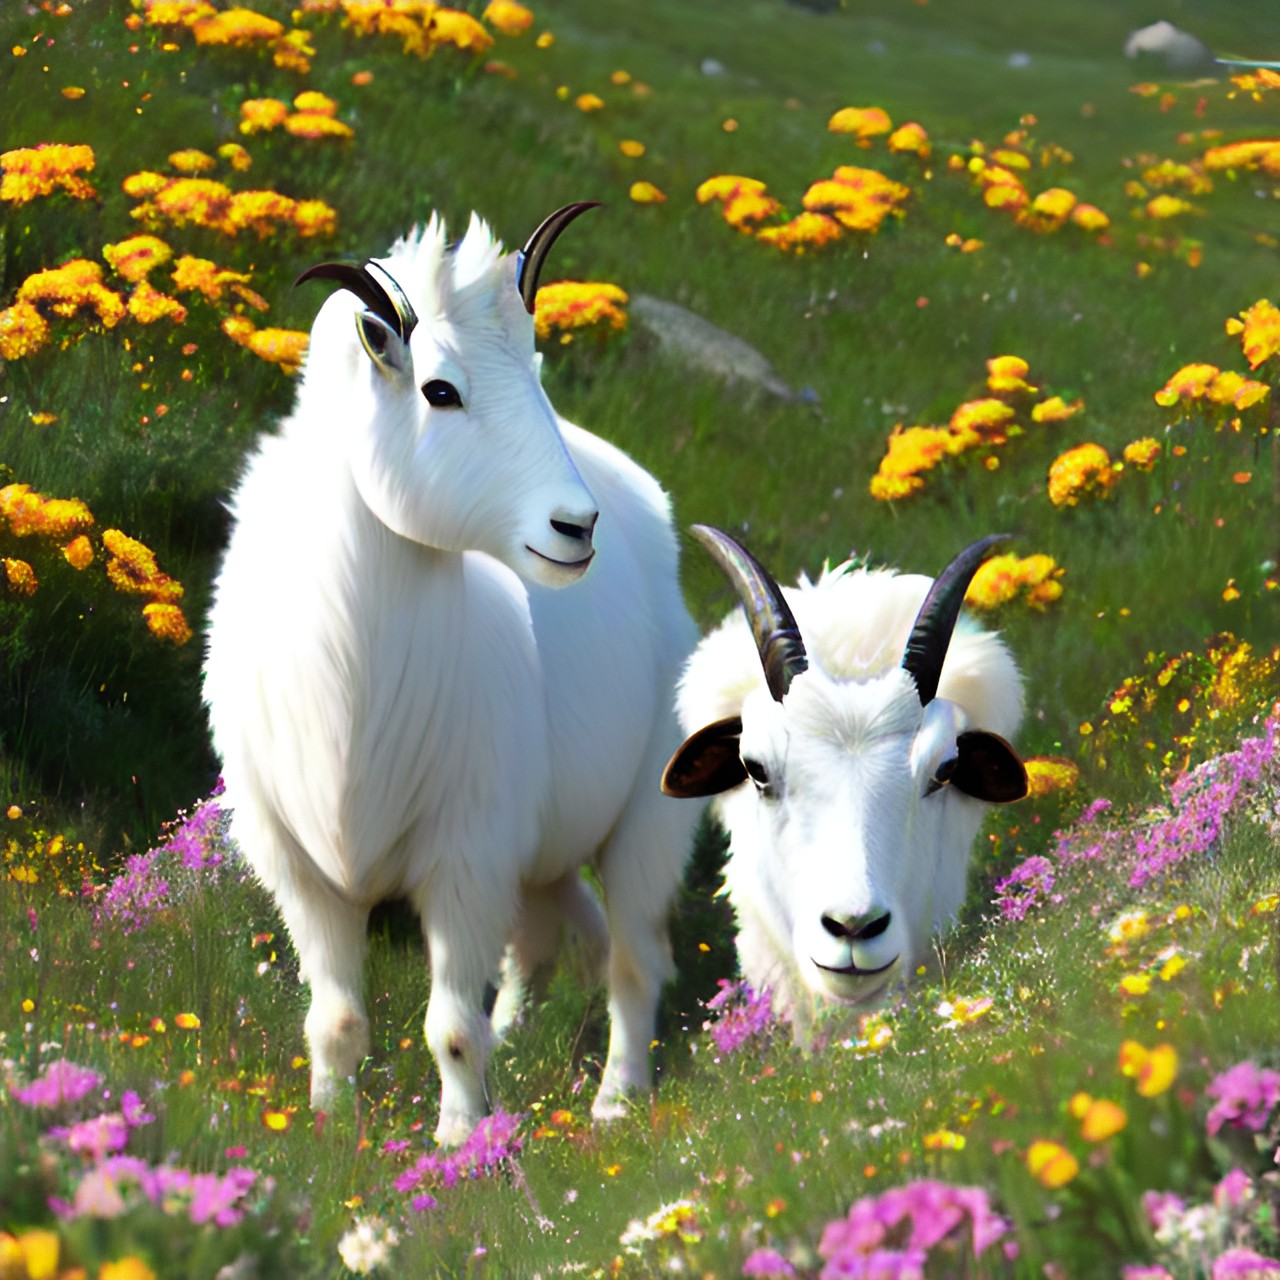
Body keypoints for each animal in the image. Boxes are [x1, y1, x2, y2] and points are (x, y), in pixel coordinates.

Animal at [202, 204, 701, 1146]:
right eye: (440, 390)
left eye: (536, 366)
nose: (576, 527)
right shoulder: (302, 868)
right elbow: (336, 1018)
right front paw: (329, 1127)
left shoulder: (465, 859)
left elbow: (449, 1028)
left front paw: (460, 1141)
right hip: (538, 847)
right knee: (546, 939)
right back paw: (526, 1035)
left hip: (643, 820)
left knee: (633, 961)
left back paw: (615, 1098)